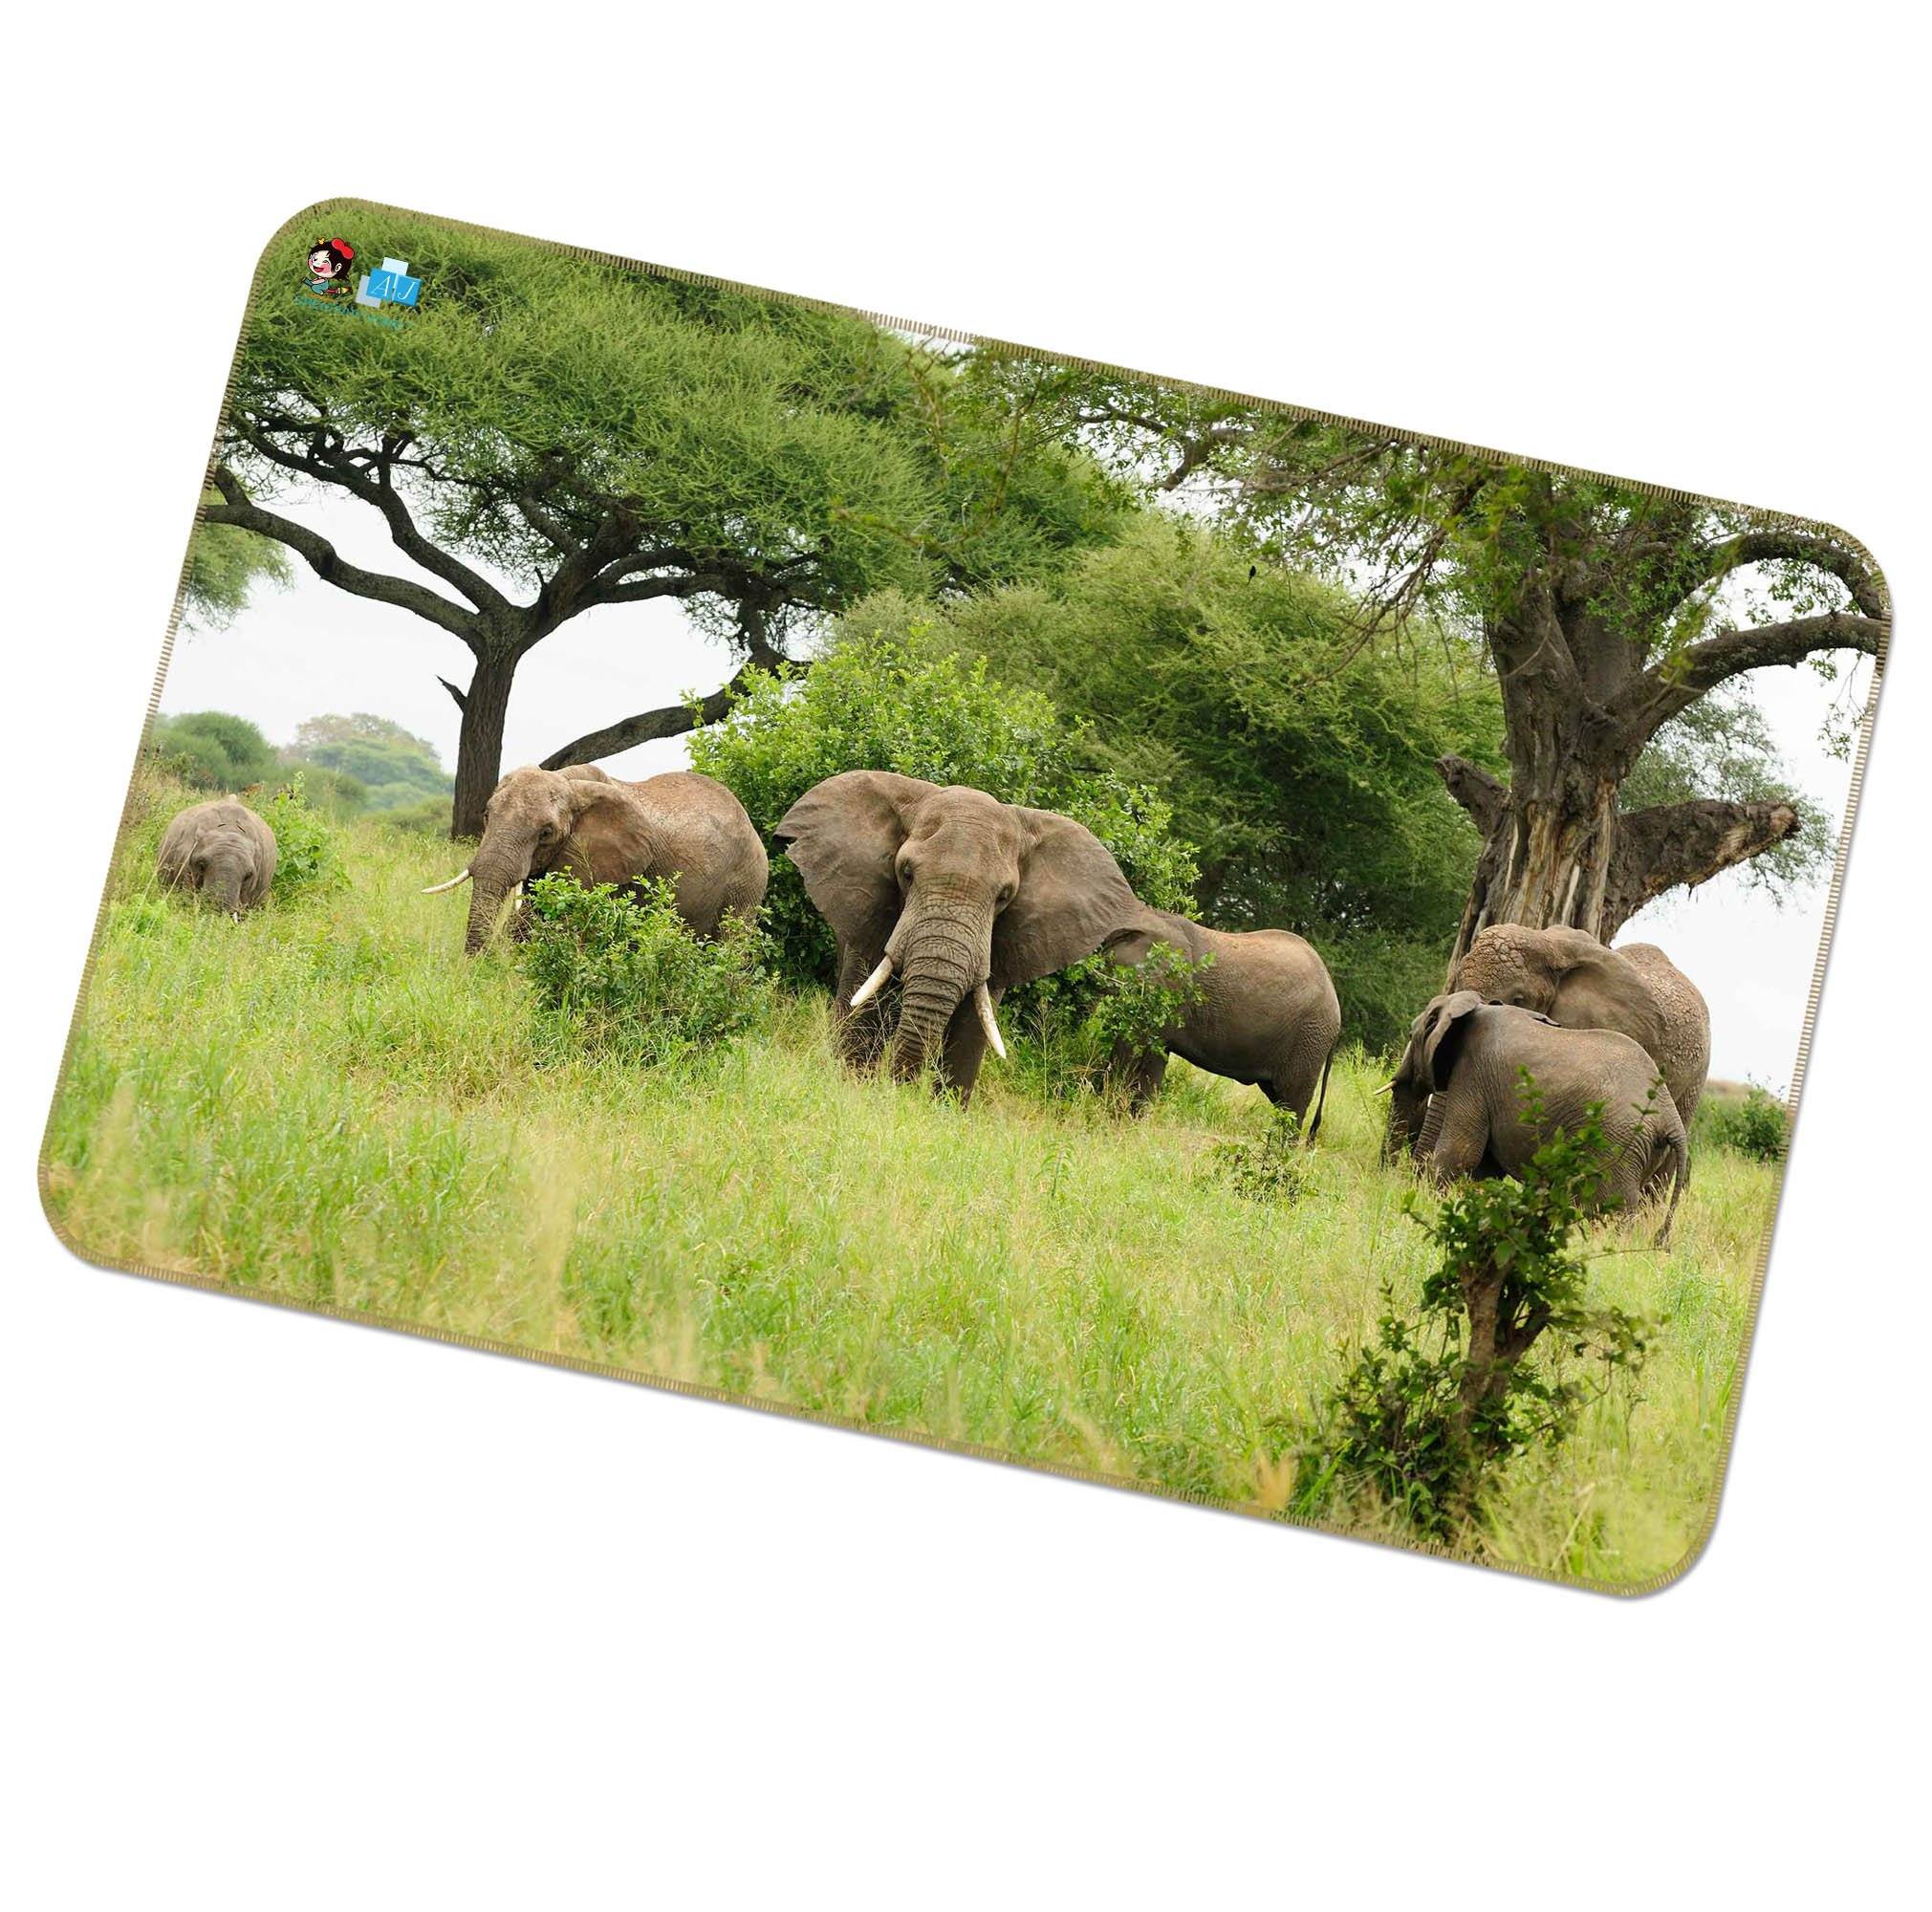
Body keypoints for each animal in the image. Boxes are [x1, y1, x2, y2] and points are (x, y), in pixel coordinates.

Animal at [774, 770, 1162, 1100]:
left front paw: (943, 1110)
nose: (898, 1091)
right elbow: (864, 1010)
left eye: (1004, 896)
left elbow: (972, 1027)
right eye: (906, 873)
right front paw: (853, 1088)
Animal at [1101, 911, 1342, 1131]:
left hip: (1310, 1037)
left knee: (1292, 1103)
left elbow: (1130, 1051)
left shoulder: (1159, 986)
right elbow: (1152, 1062)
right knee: (1282, 1101)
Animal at [1392, 991, 1689, 1243]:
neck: (1474, 1005)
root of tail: (1670, 1115)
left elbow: (1460, 1153)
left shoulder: (1473, 1074)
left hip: (1617, 1143)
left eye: (1410, 1033)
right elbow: (1486, 1169)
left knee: (1608, 1209)